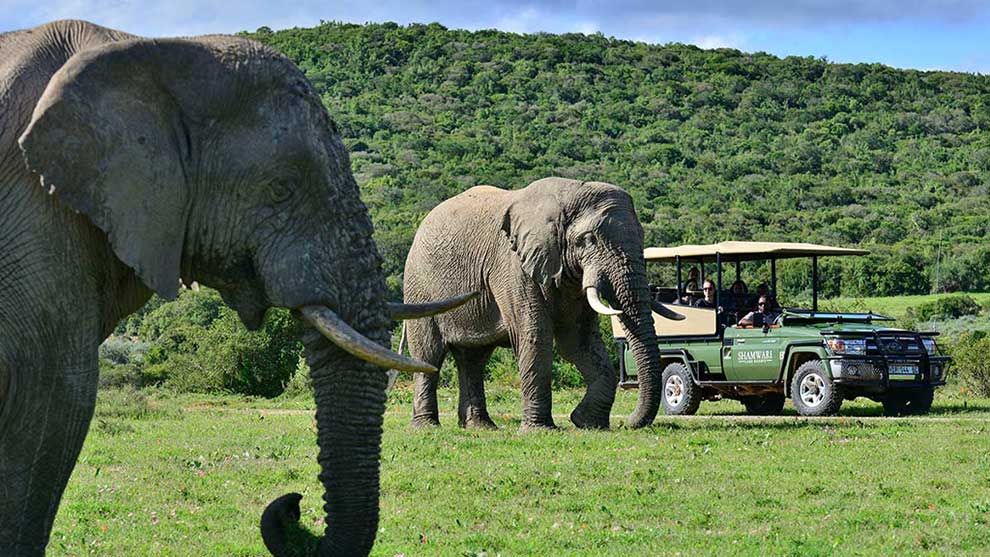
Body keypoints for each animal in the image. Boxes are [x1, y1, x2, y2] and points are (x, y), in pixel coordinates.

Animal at [404, 178, 680, 430]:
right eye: (588, 239)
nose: (628, 424)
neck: (567, 194)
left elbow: (579, 343)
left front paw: (586, 422)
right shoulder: (514, 267)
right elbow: (535, 337)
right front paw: (539, 429)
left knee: (473, 360)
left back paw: (481, 427)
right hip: (419, 287)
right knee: (429, 354)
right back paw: (427, 427)